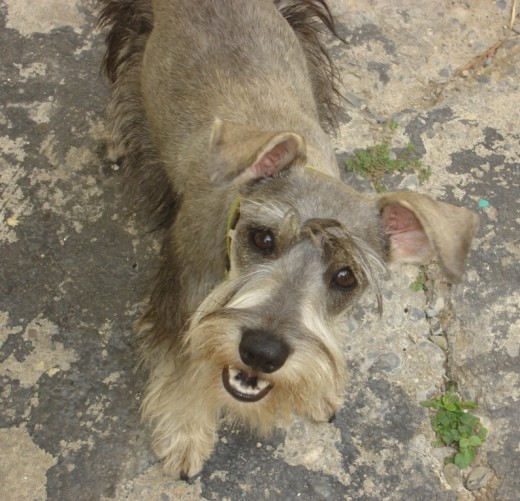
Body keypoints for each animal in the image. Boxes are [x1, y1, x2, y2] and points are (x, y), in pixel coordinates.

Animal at [98, 0, 480, 478]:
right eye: (263, 239)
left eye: (344, 277)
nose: (262, 352)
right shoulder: (178, 303)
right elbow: (183, 370)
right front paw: (184, 434)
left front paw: (316, 390)